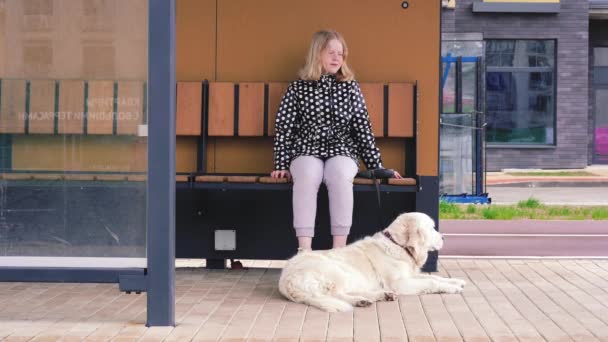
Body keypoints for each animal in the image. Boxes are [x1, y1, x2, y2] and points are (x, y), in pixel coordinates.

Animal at [280, 212, 466, 312]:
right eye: (432, 228)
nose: (444, 238)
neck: (397, 245)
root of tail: (285, 280)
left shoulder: (409, 276)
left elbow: (434, 278)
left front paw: (456, 281)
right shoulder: (400, 284)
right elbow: (431, 282)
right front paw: (452, 288)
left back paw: (378, 296)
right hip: (335, 270)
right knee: (335, 294)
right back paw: (362, 300)